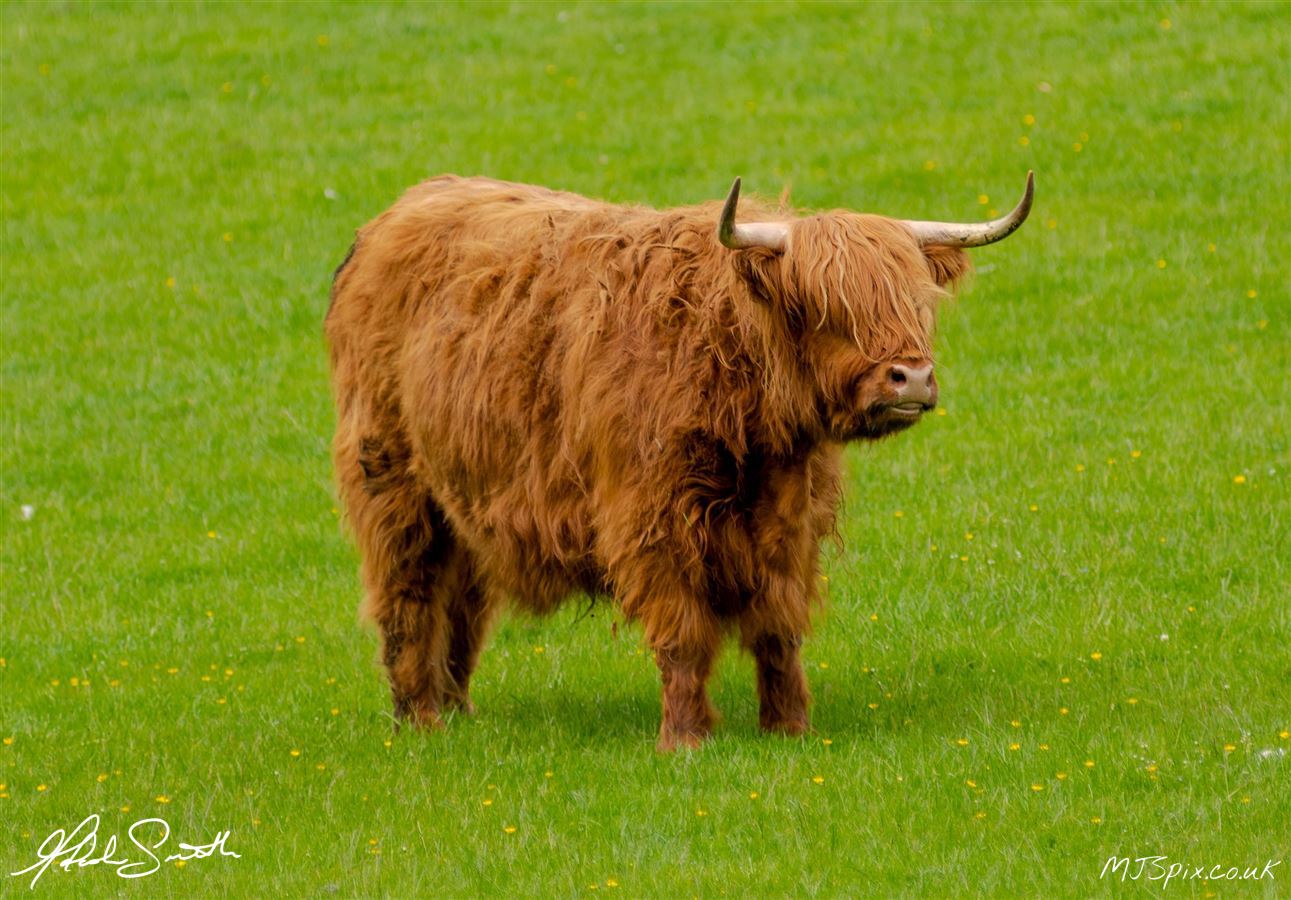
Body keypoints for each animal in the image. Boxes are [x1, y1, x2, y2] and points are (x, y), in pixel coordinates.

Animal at [327, 171, 1032, 748]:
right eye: (826, 307)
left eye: (917, 302)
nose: (911, 378)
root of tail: (399, 212)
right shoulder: (652, 523)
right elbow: (683, 634)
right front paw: (687, 738)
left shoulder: (790, 522)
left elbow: (780, 627)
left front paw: (789, 728)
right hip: (393, 481)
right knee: (408, 594)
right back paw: (420, 720)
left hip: (466, 497)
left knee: (462, 601)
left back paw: (458, 709)